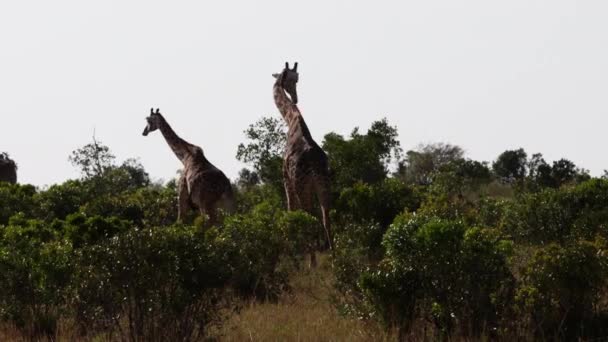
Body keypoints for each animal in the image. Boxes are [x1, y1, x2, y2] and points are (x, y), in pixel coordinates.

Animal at [274, 61, 334, 266]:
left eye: (296, 79)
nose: (295, 97)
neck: (292, 119)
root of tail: (314, 162)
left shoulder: (286, 179)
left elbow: (290, 212)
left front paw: (294, 257)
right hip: (323, 184)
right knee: (325, 216)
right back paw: (335, 258)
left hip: (302, 186)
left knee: (309, 216)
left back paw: (312, 263)